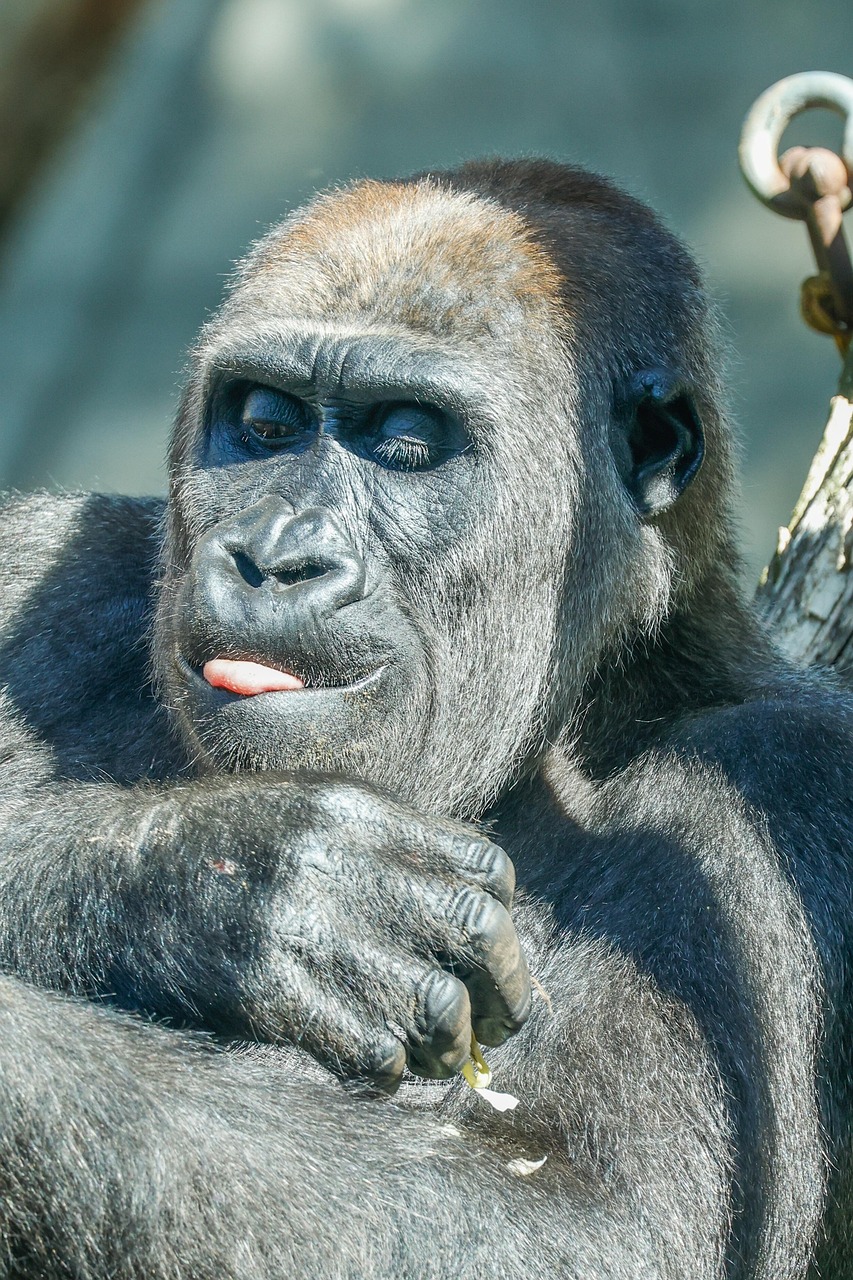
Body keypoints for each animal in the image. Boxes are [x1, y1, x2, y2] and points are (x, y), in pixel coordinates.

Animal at [0, 157, 849, 1279]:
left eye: (405, 441)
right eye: (263, 420)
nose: (276, 555)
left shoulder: (783, 783)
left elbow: (592, 1225)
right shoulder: (46, 558)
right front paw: (225, 873)